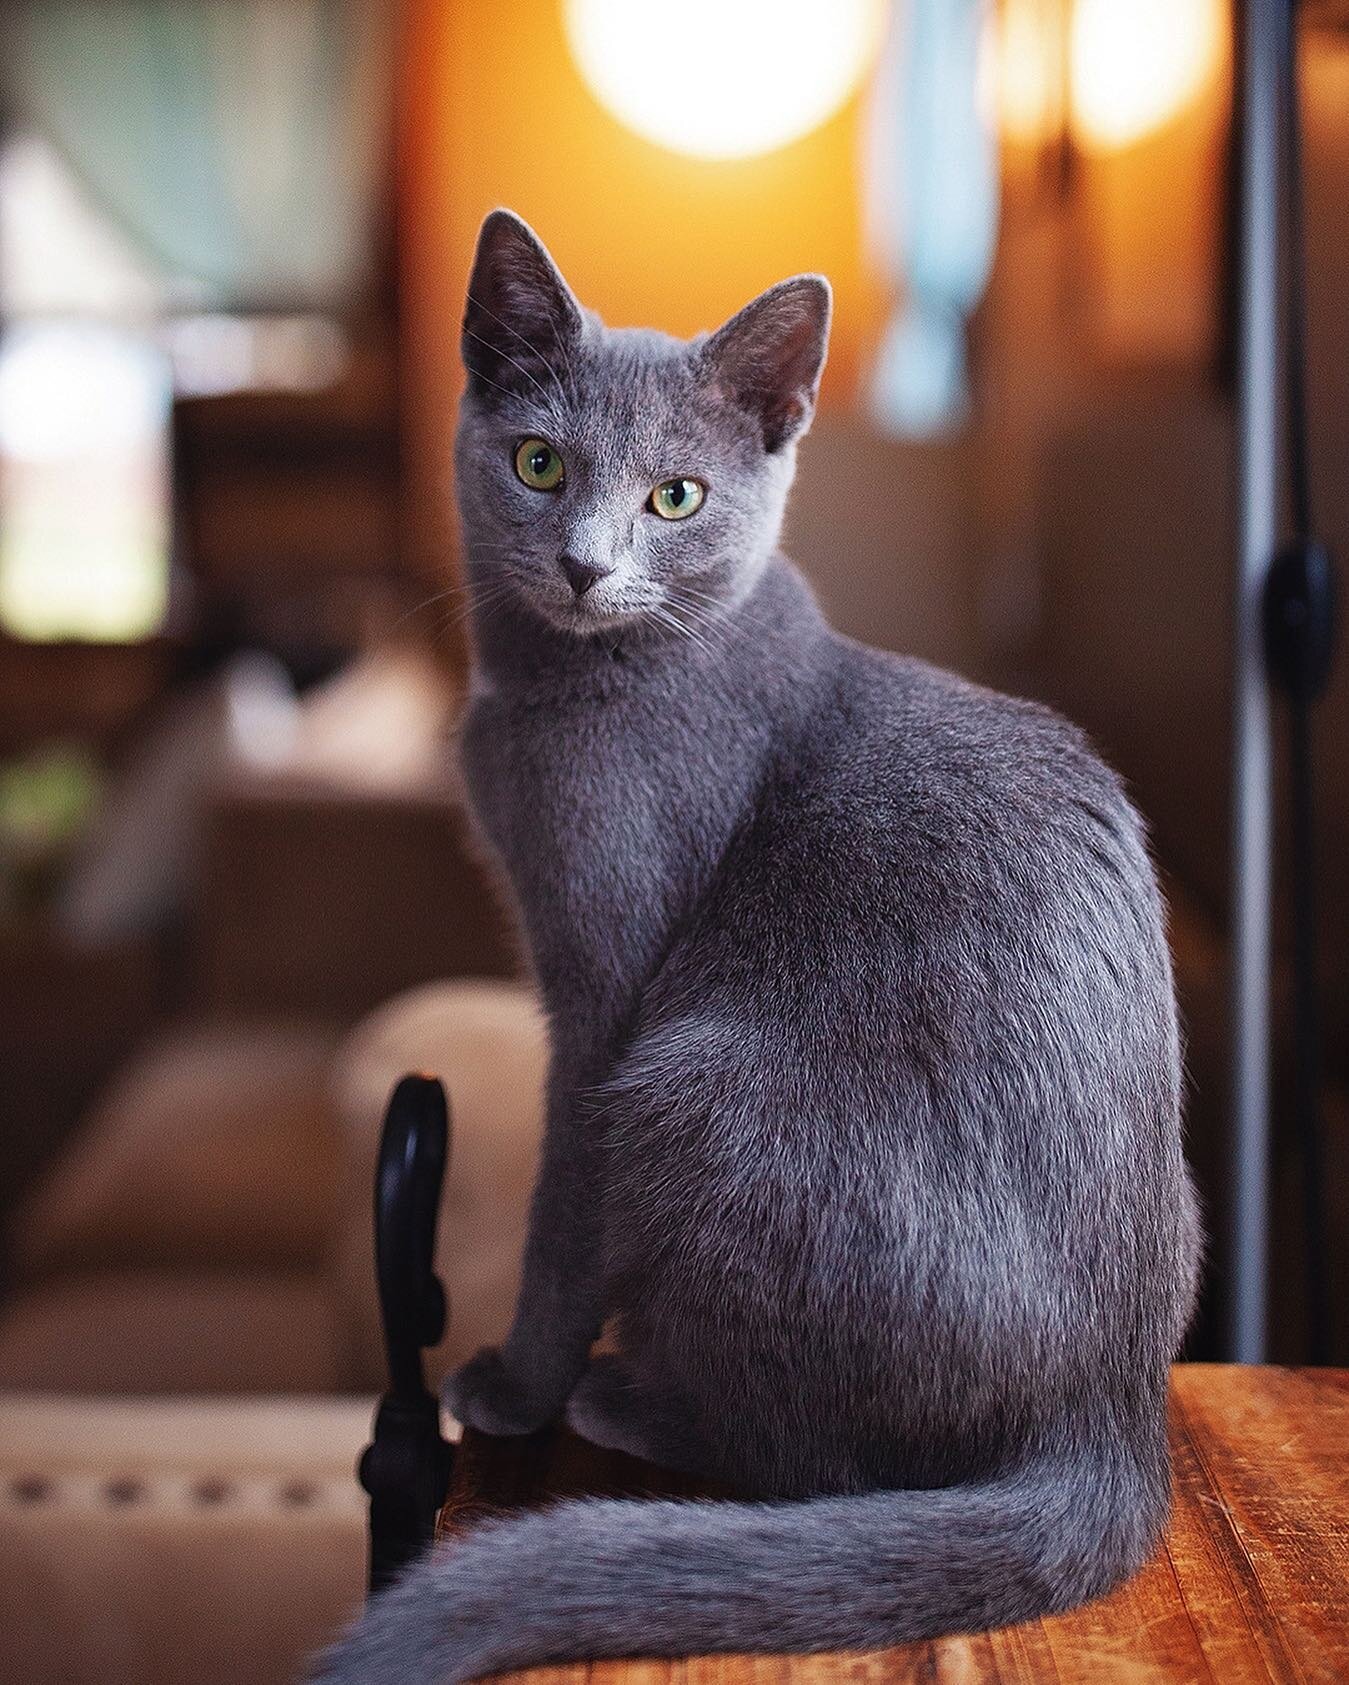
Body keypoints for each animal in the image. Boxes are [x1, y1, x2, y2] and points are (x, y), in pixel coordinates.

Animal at [318, 210, 1199, 1685]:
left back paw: (627, 1400)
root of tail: (1111, 1415)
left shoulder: (603, 997)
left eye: (674, 497)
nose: (584, 562)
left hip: (699, 1084)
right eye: (538, 462)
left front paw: (513, 1385)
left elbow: (561, 1209)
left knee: (818, 1463)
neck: (555, 689)